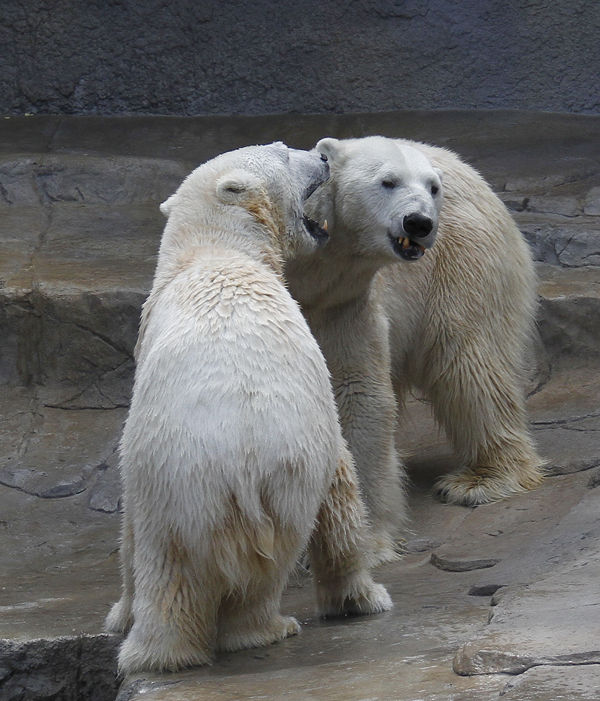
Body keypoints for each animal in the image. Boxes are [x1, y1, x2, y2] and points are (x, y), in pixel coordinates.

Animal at [105, 141, 392, 672]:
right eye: (282, 150)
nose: (324, 156)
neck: (217, 252)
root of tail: (240, 458)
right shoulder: (319, 413)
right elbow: (342, 483)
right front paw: (361, 597)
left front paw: (119, 615)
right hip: (284, 480)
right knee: (267, 569)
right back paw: (266, 628)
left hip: (173, 487)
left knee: (162, 559)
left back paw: (154, 653)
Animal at [284, 135, 544, 564]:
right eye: (387, 181)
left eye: (432, 188)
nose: (419, 222)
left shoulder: (345, 304)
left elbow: (355, 394)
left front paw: (363, 541)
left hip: (462, 264)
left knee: (468, 364)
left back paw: (481, 480)